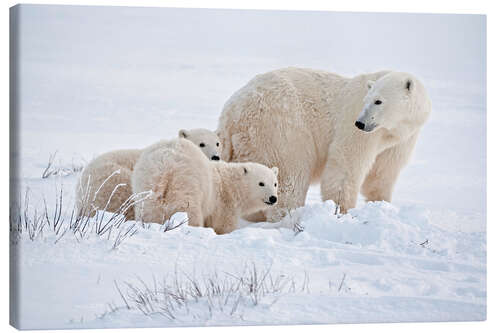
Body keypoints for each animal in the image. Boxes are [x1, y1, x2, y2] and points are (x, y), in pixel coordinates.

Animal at [217, 66, 432, 219]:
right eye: (367, 100)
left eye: (378, 101)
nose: (360, 123)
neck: (393, 129)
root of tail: (231, 112)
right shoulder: (355, 127)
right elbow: (345, 164)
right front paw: (341, 211)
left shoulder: (401, 139)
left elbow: (382, 173)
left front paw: (381, 204)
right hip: (281, 130)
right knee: (289, 176)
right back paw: (288, 217)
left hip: (247, 142)